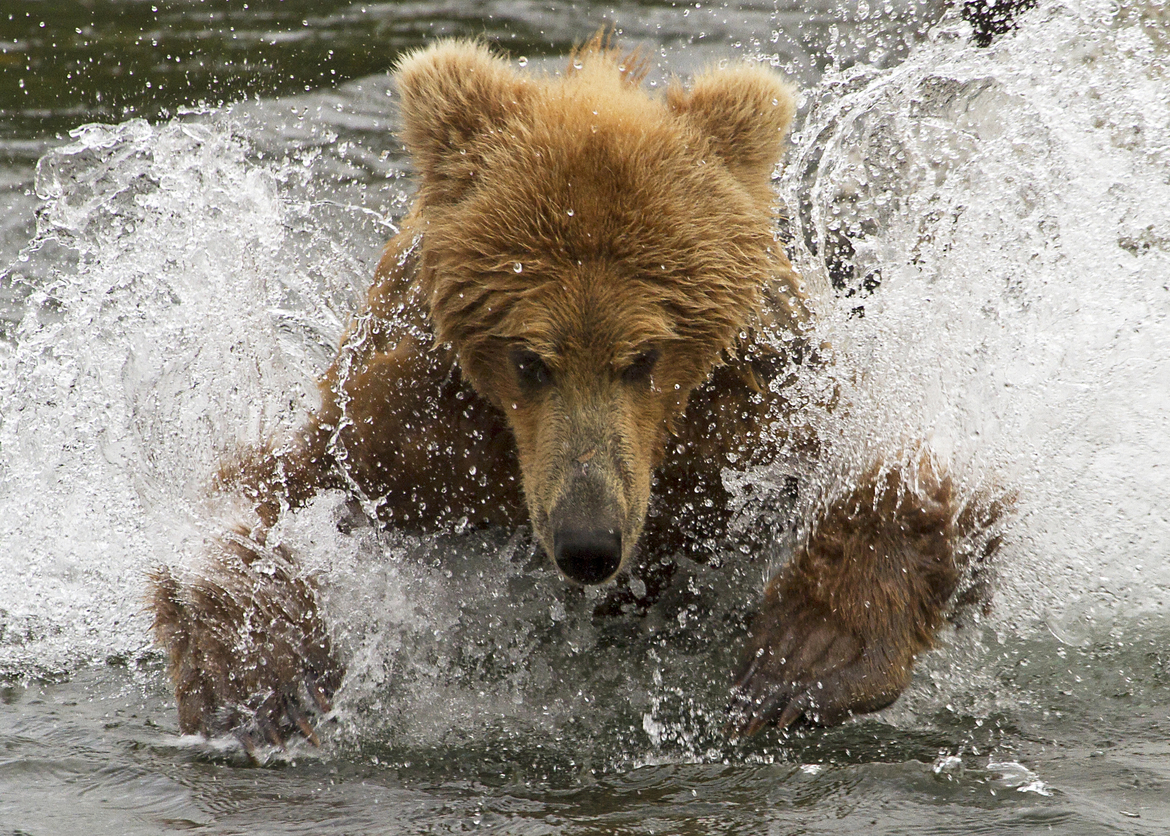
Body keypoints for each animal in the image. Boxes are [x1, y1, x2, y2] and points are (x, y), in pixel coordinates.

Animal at [150, 34, 1008, 752]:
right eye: (529, 358)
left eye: (646, 355)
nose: (589, 542)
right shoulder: (403, 437)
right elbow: (261, 490)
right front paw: (263, 679)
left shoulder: (764, 417)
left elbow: (924, 477)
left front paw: (804, 659)